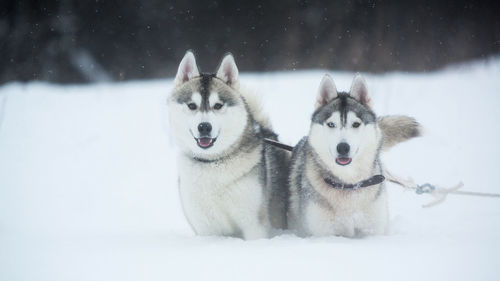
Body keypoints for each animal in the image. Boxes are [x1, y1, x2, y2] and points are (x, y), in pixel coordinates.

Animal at [167, 50, 290, 238]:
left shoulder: (254, 225)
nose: (204, 127)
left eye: (217, 105)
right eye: (192, 105)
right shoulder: (206, 228)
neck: (212, 164)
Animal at [290, 74, 422, 236]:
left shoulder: (373, 230)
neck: (349, 185)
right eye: (331, 124)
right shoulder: (323, 233)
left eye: (356, 124)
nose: (343, 147)